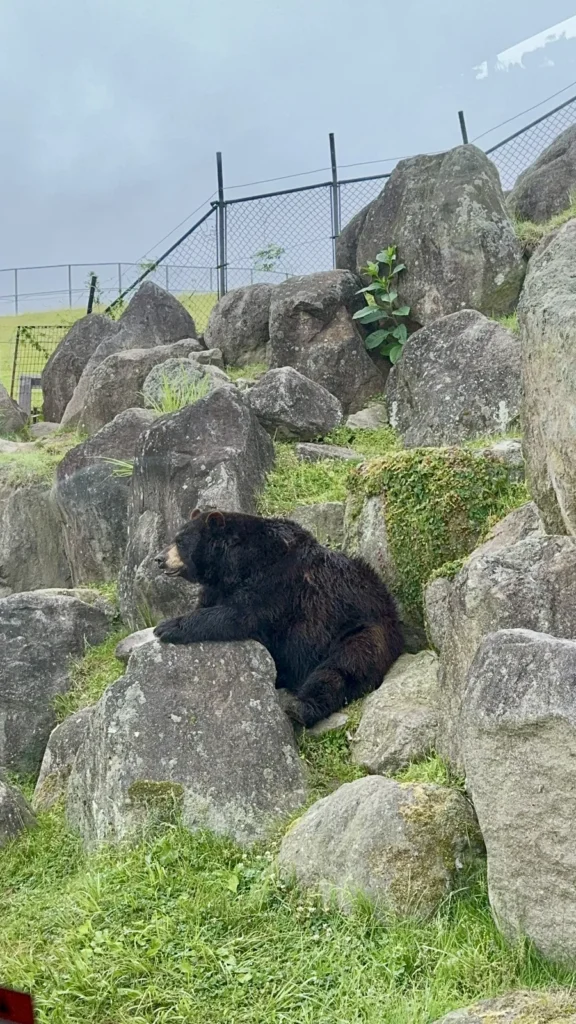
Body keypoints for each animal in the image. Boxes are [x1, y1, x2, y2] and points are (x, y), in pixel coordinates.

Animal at [154, 509, 403, 728]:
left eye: (180, 541)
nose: (158, 558)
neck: (237, 564)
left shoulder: (277, 581)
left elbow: (240, 615)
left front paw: (168, 626)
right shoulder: (219, 587)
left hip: (358, 629)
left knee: (344, 665)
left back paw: (300, 708)